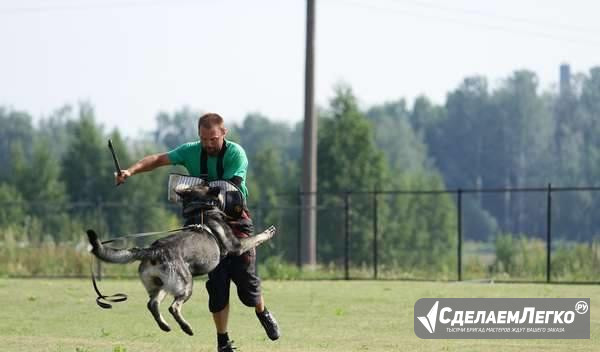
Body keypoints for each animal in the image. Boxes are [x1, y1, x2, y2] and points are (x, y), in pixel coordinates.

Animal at [86, 184, 276, 336]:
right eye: (206, 185)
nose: (218, 187)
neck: (201, 209)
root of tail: (153, 250)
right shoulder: (237, 245)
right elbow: (255, 238)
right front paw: (267, 233)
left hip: (163, 285)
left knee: (152, 304)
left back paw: (165, 326)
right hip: (186, 285)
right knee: (173, 307)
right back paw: (186, 328)